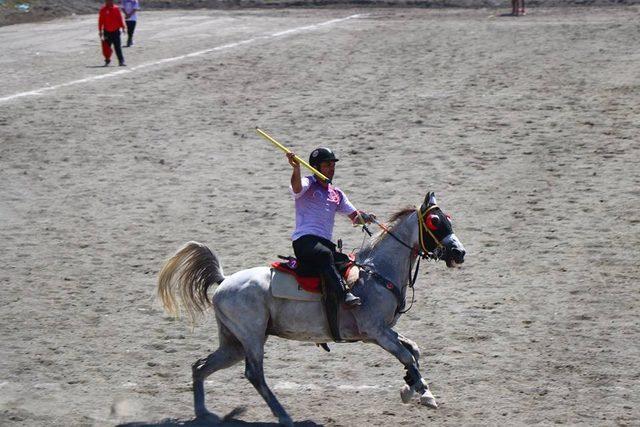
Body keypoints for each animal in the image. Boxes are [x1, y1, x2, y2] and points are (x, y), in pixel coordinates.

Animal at [155, 192, 464, 426]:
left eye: (447, 220)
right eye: (435, 221)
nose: (460, 253)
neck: (375, 273)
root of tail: (224, 280)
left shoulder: (379, 333)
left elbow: (414, 350)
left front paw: (408, 388)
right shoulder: (376, 331)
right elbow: (407, 355)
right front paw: (424, 394)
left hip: (233, 343)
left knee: (200, 366)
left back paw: (204, 414)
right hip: (251, 339)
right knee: (254, 374)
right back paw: (283, 416)